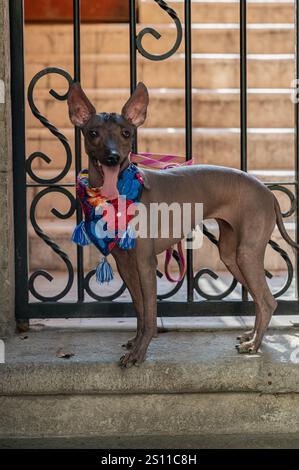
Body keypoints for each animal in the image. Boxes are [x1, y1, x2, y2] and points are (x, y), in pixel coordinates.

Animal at [68, 81, 299, 368]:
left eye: (125, 133)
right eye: (93, 133)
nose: (112, 157)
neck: (118, 194)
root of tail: (268, 192)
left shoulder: (145, 262)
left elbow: (150, 314)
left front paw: (139, 354)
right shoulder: (126, 264)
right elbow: (140, 308)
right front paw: (135, 342)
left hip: (247, 253)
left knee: (268, 300)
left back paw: (255, 345)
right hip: (231, 256)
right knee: (260, 299)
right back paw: (252, 335)